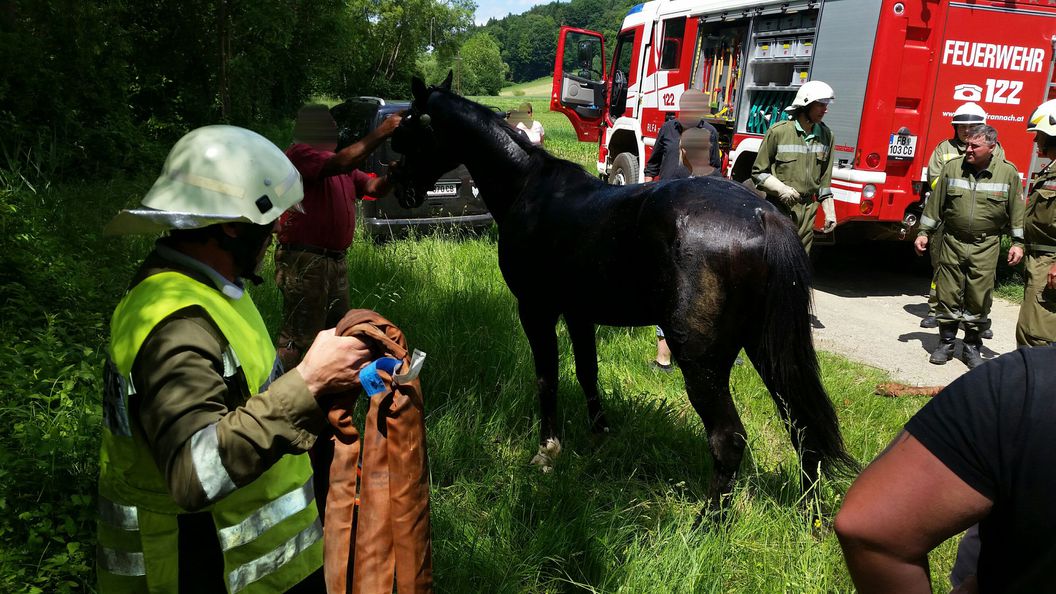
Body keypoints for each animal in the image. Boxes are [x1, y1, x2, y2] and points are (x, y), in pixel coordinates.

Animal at [390, 74, 857, 514]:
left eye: (410, 127)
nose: (401, 190)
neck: (529, 187)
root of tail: (762, 214)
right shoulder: (578, 314)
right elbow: (587, 372)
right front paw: (600, 434)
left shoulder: (536, 310)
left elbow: (547, 377)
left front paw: (548, 449)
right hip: (765, 348)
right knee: (802, 428)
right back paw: (809, 509)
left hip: (703, 362)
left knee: (729, 439)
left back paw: (707, 522)